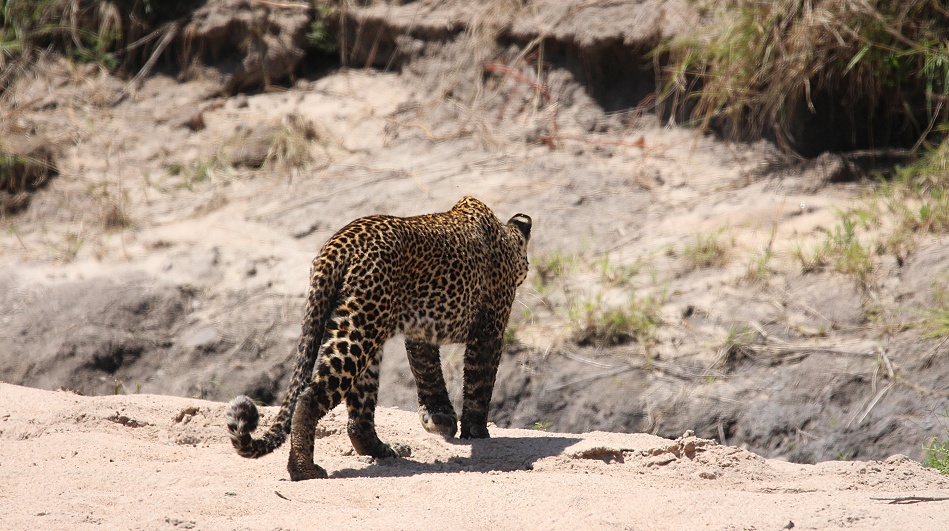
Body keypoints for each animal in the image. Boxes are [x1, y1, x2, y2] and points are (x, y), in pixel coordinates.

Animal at [225, 196, 531, 480]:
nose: (526, 270)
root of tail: (336, 245)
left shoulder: (421, 332)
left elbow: (428, 372)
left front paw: (439, 418)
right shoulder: (490, 328)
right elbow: (480, 383)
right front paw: (476, 431)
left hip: (360, 329)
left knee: (358, 414)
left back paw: (380, 450)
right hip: (359, 330)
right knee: (309, 396)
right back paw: (303, 469)